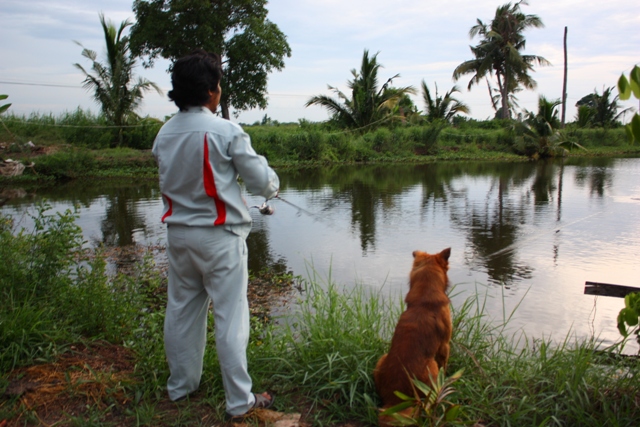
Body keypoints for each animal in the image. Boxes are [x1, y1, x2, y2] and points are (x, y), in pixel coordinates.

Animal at [372, 247, 452, 424]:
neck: (424, 301)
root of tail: (395, 401)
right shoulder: (445, 345)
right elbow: (445, 366)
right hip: (431, 366)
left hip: (381, 358)